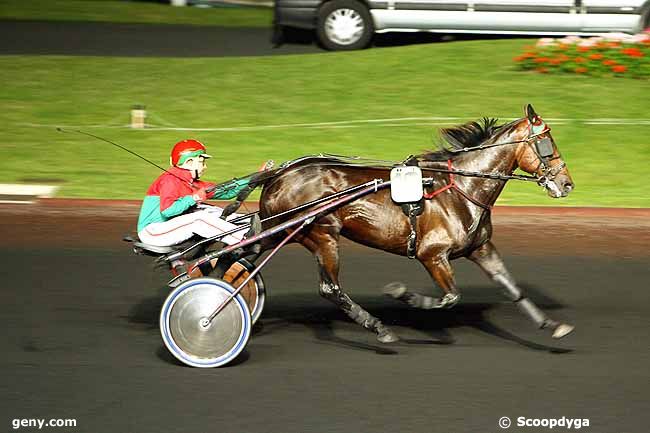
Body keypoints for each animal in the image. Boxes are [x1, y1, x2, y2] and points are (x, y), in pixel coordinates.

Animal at [256, 104, 572, 340]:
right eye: (546, 142)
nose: (566, 184)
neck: (461, 188)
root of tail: (279, 176)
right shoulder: (432, 255)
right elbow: (450, 297)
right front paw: (403, 295)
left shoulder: (481, 249)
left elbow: (513, 288)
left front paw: (552, 325)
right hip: (321, 234)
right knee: (330, 288)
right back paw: (378, 327)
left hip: (279, 231)